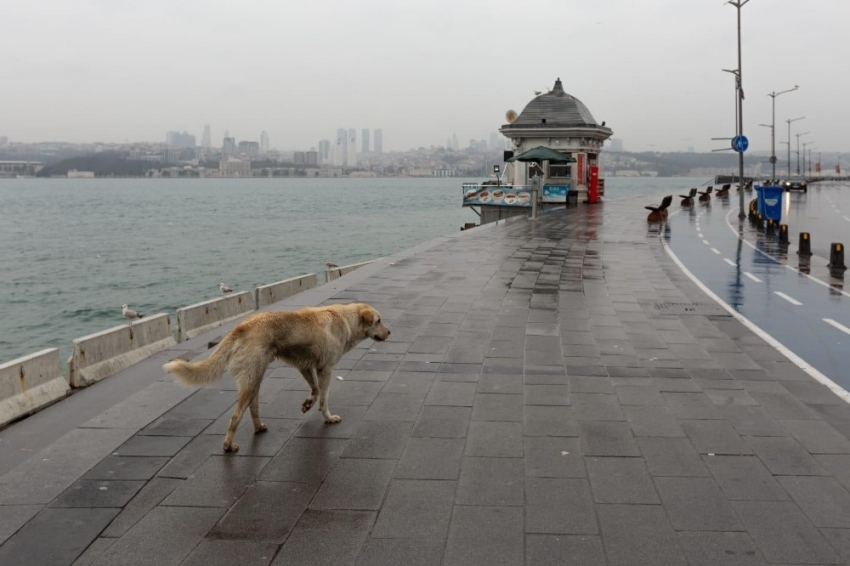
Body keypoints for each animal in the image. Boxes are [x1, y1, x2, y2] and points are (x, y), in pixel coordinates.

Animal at [161, 304, 390, 454]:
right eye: (378, 321)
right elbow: (324, 397)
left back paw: (258, 427)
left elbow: (315, 390)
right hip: (251, 380)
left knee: (253, 409)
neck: (344, 319)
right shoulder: (325, 369)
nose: (389, 332)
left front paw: (307, 404)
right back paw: (228, 446)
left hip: (255, 379)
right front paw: (328, 417)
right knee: (235, 417)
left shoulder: (305, 366)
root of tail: (241, 327)